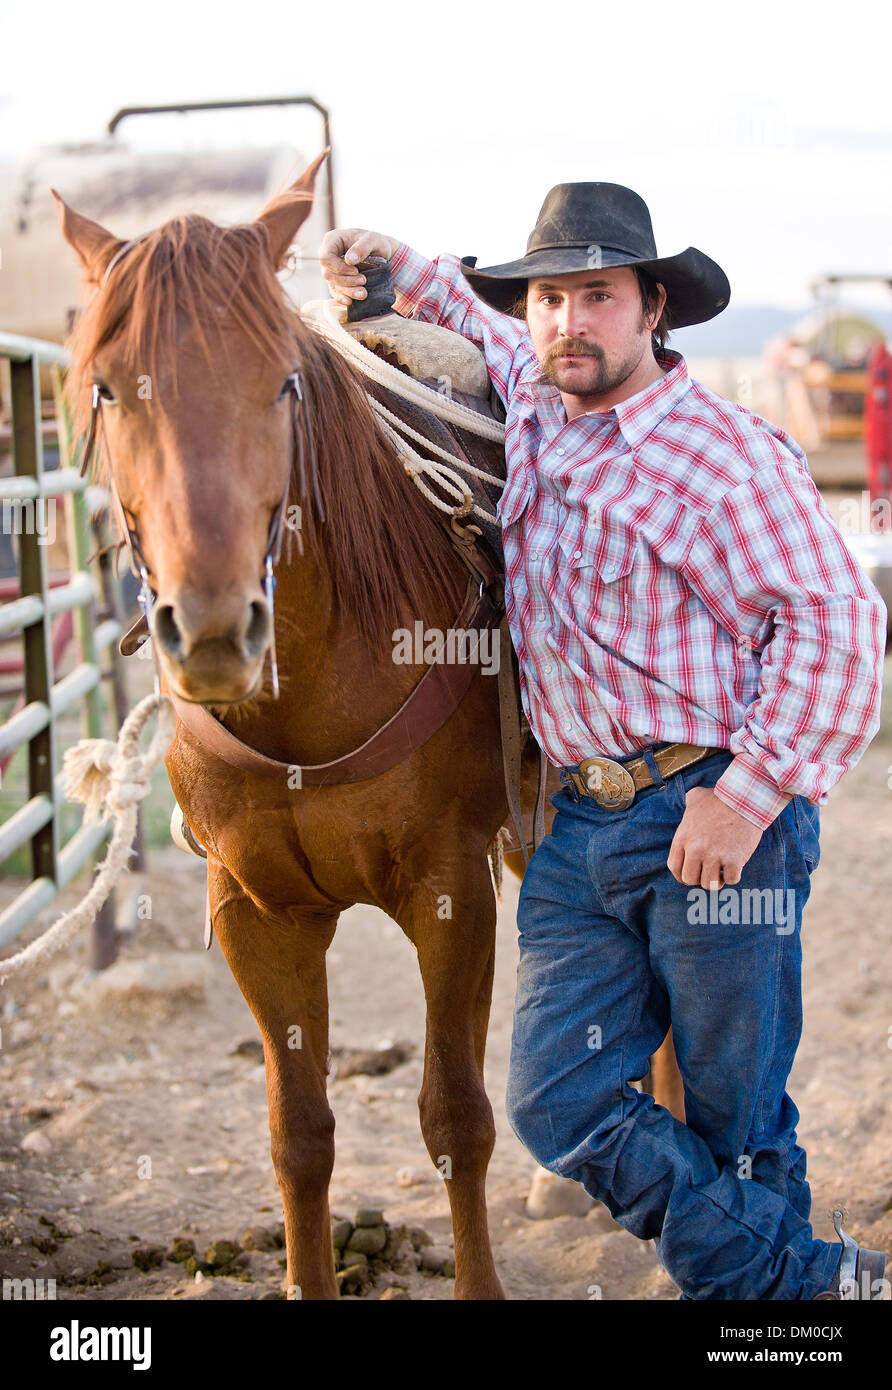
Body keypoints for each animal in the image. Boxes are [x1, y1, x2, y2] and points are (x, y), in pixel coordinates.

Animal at [55, 157, 680, 1295]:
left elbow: (455, 1118)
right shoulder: (253, 912)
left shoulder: (447, 890)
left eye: (283, 383)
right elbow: (298, 1134)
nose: (213, 627)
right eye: (110, 387)